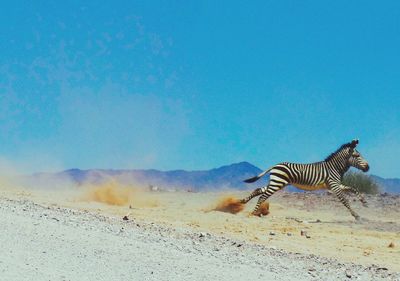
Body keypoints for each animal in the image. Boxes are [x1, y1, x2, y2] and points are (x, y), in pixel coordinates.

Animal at [239, 139, 370, 220]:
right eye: (357, 156)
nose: (368, 167)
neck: (334, 167)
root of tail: (275, 165)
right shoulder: (334, 186)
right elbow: (345, 201)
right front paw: (356, 216)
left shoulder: (337, 185)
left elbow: (354, 189)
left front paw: (364, 202)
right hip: (277, 183)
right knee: (262, 196)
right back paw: (253, 212)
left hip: (278, 183)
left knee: (258, 190)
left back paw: (243, 202)